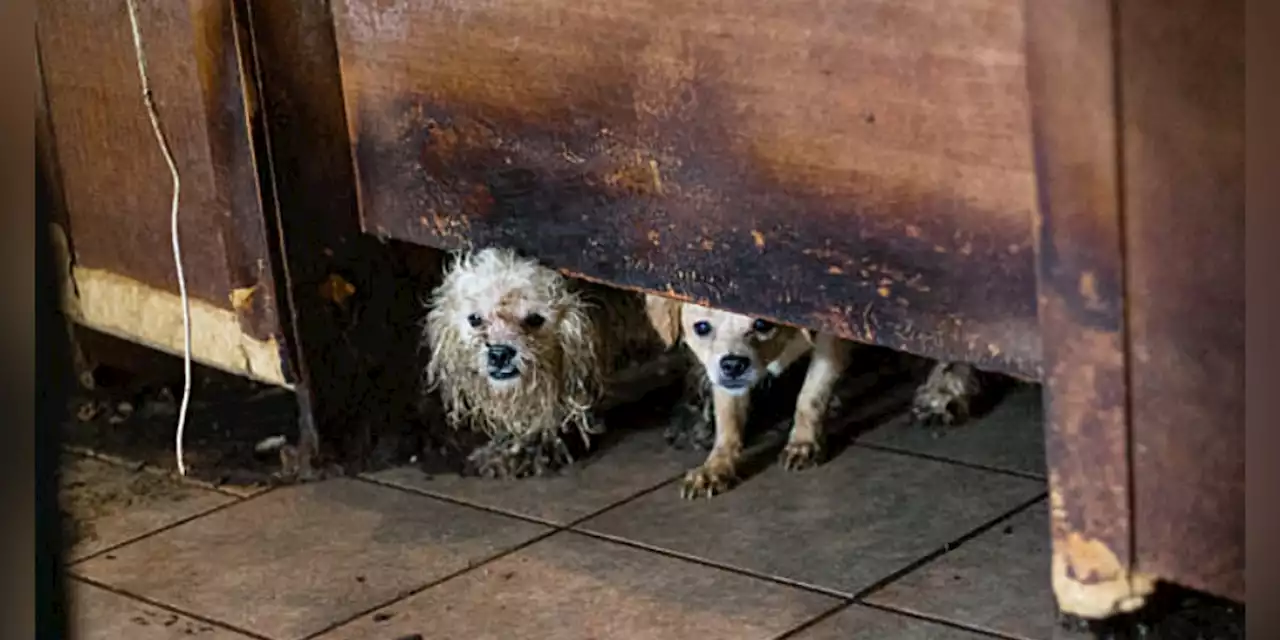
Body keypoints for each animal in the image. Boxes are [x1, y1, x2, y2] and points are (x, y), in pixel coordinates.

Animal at [645, 294, 855, 499]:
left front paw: (803, 444)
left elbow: (811, 396)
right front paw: (715, 467)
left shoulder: (829, 341)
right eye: (701, 327)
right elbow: (728, 419)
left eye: (763, 324)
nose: (733, 365)